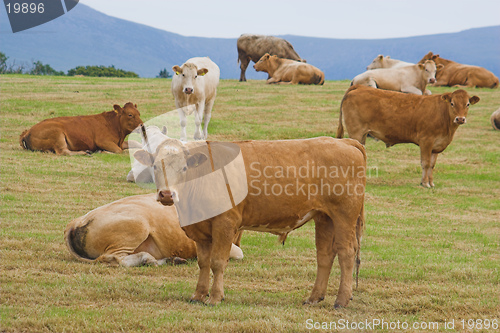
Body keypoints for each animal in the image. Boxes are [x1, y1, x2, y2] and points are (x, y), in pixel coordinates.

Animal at [65, 193, 245, 266]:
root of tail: (76, 221)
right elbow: (239, 254)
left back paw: (171, 260)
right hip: (137, 227)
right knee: (115, 258)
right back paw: (148, 259)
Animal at [135, 136, 366, 308]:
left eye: (184, 168)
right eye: (154, 166)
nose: (167, 194)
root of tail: (345, 141)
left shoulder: (225, 224)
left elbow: (217, 262)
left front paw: (215, 297)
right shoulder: (201, 232)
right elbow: (203, 263)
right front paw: (198, 295)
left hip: (344, 216)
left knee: (346, 253)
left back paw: (341, 300)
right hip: (324, 217)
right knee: (325, 255)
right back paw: (314, 297)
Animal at [336, 85, 480, 187]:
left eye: (467, 104)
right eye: (452, 103)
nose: (460, 119)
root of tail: (360, 86)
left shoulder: (436, 145)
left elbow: (432, 165)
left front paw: (431, 182)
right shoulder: (426, 141)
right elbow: (425, 163)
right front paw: (425, 183)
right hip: (356, 132)